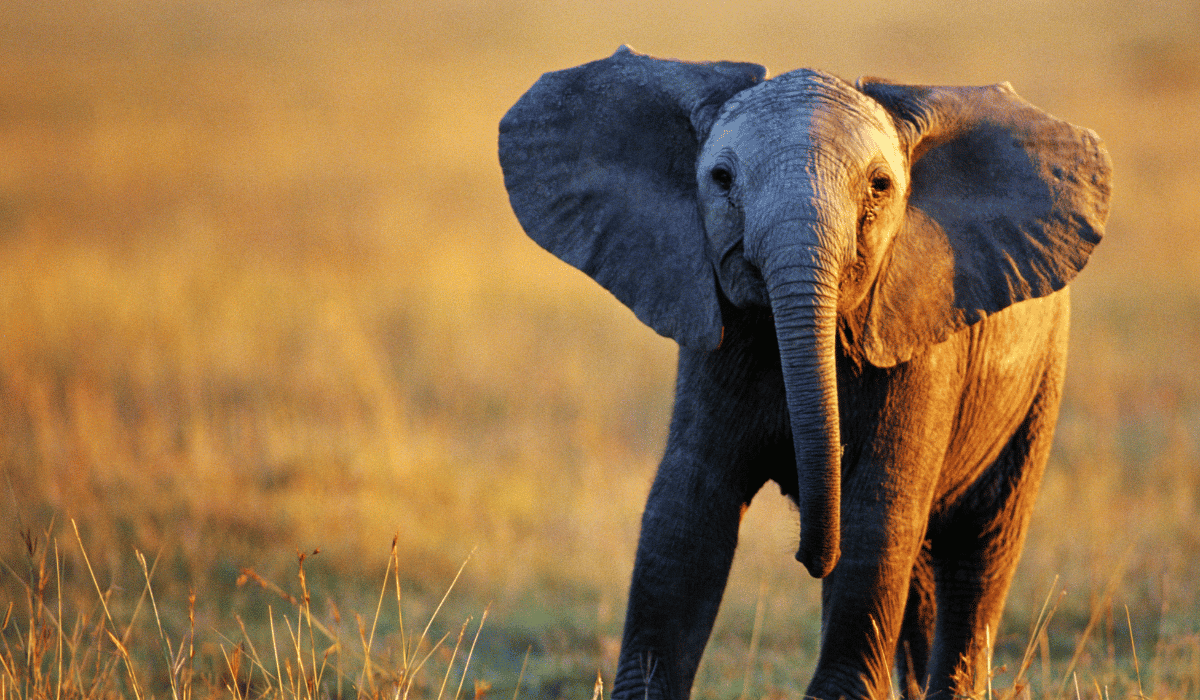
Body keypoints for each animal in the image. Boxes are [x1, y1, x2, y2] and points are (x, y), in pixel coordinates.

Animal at [498, 47, 1111, 700]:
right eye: (721, 180)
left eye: (880, 186)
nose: (810, 559)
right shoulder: (717, 340)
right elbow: (687, 515)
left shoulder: (921, 341)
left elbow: (876, 514)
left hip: (1043, 378)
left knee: (980, 551)